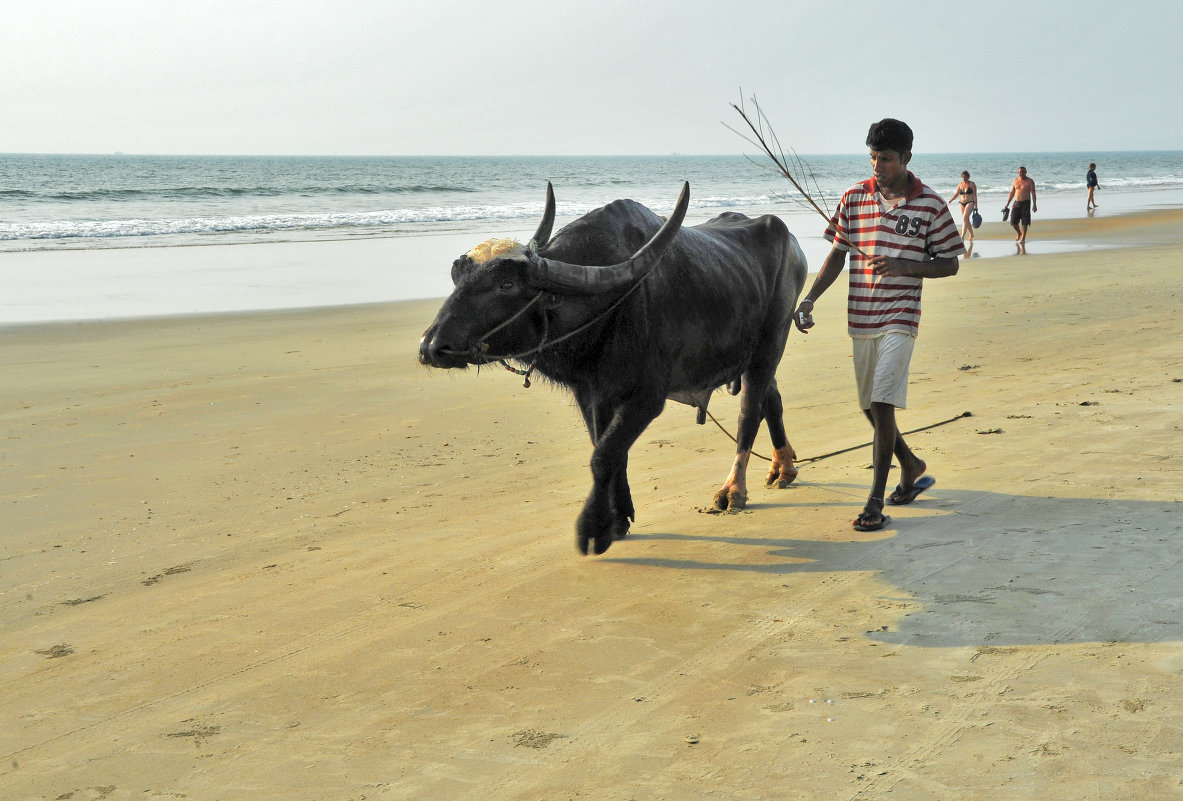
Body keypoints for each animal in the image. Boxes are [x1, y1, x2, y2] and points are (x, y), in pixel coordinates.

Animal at [421, 183, 809, 553]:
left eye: (506, 284)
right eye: (459, 279)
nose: (431, 346)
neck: (606, 309)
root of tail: (793, 245)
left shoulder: (647, 399)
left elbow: (604, 454)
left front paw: (593, 528)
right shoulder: (590, 393)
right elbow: (609, 449)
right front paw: (618, 517)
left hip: (770, 344)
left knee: (749, 412)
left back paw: (733, 491)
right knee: (771, 399)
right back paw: (783, 467)